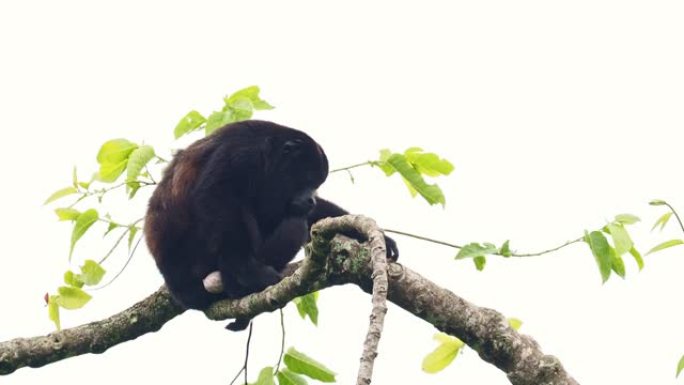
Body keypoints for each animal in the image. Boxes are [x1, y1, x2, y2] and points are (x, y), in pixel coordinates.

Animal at [146, 121, 400, 324]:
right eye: (307, 179)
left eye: (316, 184)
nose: (310, 198)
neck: (268, 153)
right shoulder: (241, 155)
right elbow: (214, 195)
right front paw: (246, 270)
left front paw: (382, 239)